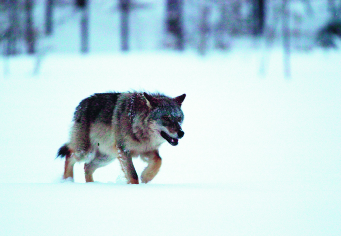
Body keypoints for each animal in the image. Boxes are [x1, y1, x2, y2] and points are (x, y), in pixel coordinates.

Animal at [57, 91, 186, 183]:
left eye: (179, 118)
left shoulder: (146, 151)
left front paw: (146, 177)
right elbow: (133, 175)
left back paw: (91, 185)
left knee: (87, 166)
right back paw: (68, 181)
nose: (181, 133)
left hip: (106, 157)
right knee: (69, 155)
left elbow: (159, 160)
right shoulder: (124, 151)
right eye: (166, 118)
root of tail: (81, 104)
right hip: (85, 152)